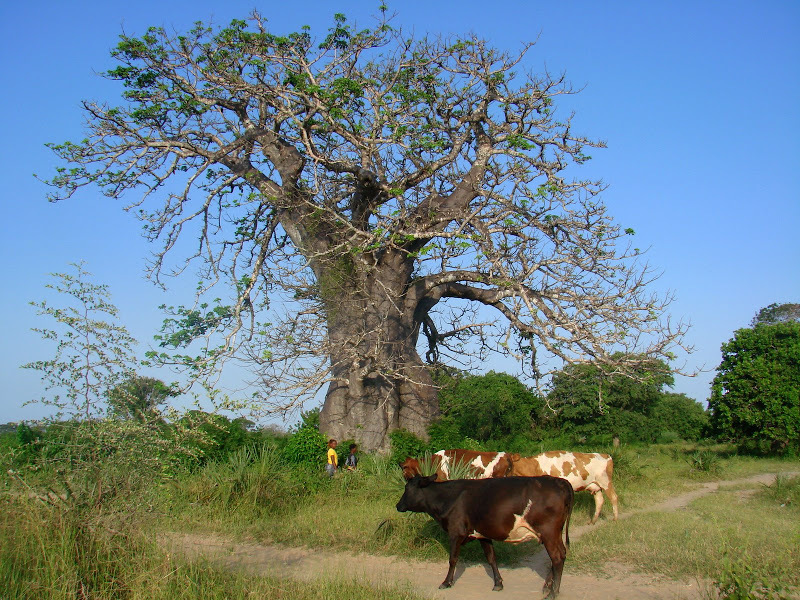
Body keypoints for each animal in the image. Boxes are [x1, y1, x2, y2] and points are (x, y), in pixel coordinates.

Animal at [396, 476, 572, 596]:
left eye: (407, 488)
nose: (398, 505)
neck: (448, 498)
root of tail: (560, 482)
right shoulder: (483, 534)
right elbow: (491, 558)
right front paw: (498, 583)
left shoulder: (456, 532)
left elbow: (453, 559)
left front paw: (446, 582)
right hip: (555, 532)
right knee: (560, 554)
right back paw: (547, 587)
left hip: (549, 531)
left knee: (557, 557)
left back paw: (553, 593)